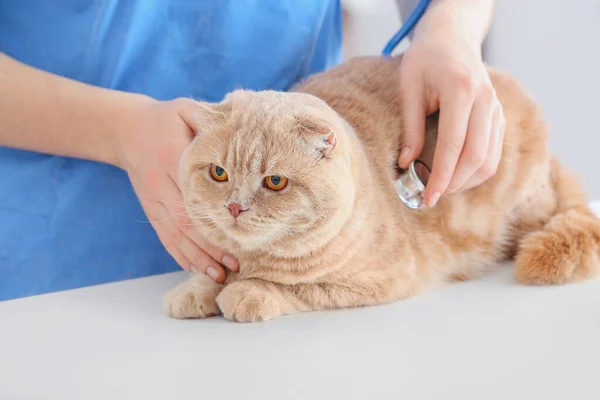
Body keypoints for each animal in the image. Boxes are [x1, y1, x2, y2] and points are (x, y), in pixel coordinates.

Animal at [162, 55, 600, 322]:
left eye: (275, 181)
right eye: (219, 173)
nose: (235, 207)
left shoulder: (382, 278)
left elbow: (300, 288)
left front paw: (247, 293)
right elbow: (213, 271)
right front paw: (196, 288)